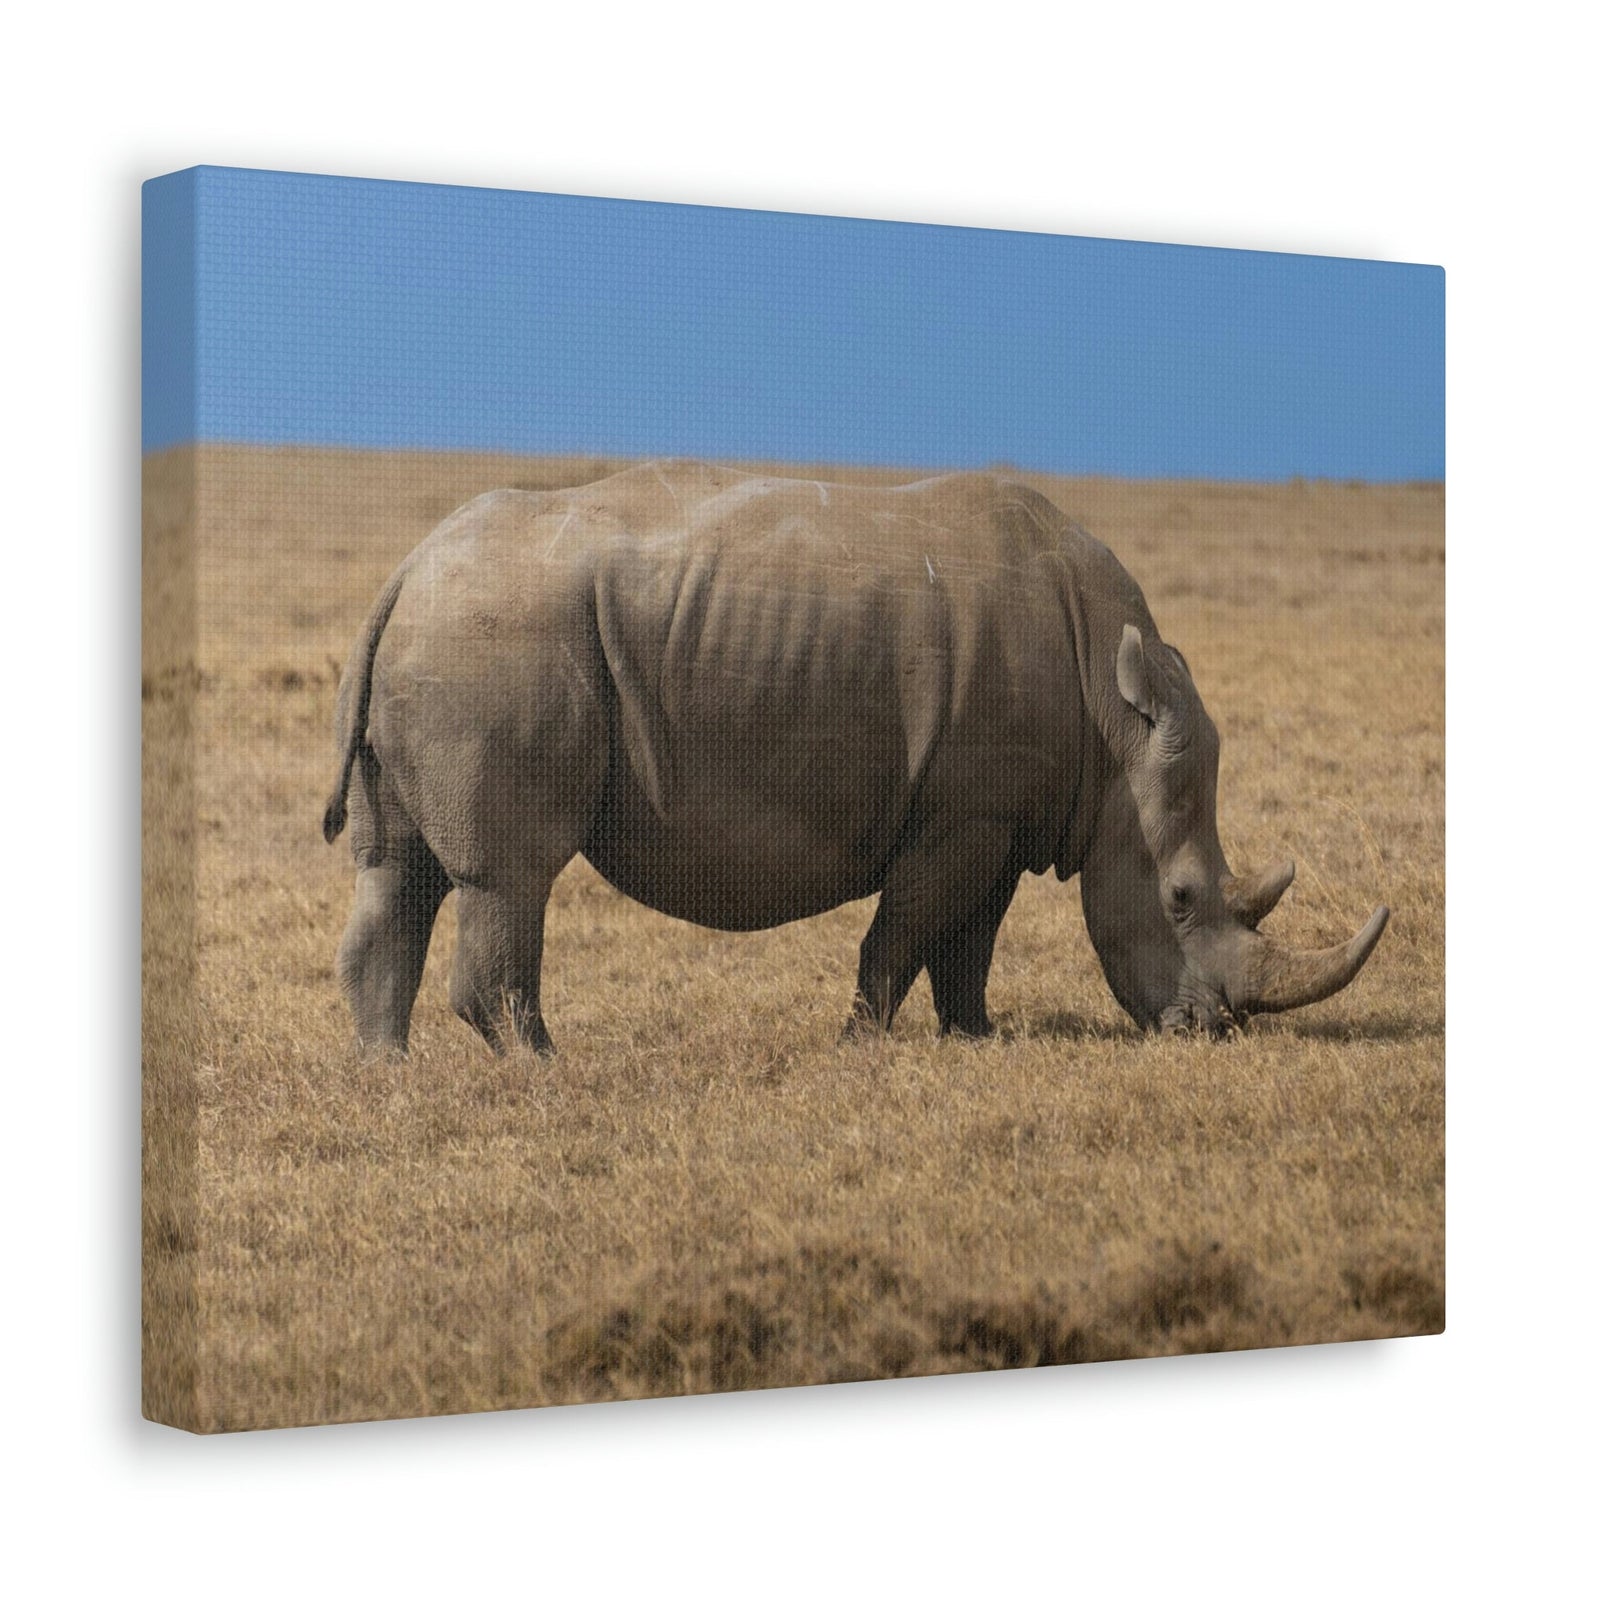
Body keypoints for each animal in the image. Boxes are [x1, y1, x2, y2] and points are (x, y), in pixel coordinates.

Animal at [324, 460, 1388, 1054]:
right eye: (1180, 899)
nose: (1214, 1031)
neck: (1114, 718)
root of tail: (406, 568)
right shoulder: (964, 814)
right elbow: (904, 932)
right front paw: (862, 1044)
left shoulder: (998, 816)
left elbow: (968, 941)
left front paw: (977, 1041)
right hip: (495, 643)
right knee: (512, 875)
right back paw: (544, 1067)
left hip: (447, 638)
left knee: (398, 872)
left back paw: (388, 1076)